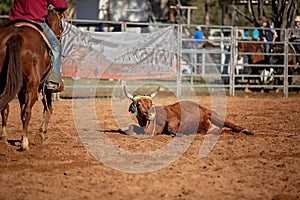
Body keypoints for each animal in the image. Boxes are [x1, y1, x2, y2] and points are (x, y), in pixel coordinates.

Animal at [0, 8, 63, 151]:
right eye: (60, 27)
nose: (59, 37)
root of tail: (16, 36)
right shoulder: (46, 88)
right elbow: (48, 109)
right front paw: (40, 134)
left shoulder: (21, 91)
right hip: (32, 87)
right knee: (27, 112)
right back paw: (25, 144)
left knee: (5, 108)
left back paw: (4, 137)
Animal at [123, 85, 252, 136]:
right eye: (139, 104)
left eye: (151, 103)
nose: (151, 115)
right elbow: (130, 127)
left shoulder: (172, 118)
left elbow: (171, 128)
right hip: (213, 130)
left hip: (215, 116)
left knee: (232, 125)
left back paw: (247, 131)